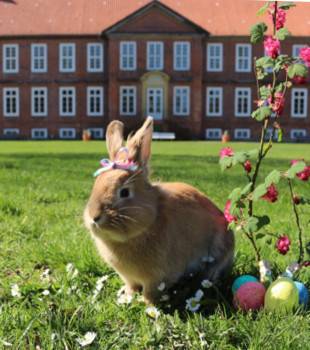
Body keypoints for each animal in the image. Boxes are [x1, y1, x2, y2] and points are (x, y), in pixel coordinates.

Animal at [83, 117, 234, 304]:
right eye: (95, 185)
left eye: (124, 192)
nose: (94, 217)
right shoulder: (128, 277)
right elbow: (131, 286)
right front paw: (127, 296)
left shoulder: (157, 278)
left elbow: (150, 293)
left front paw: (145, 303)